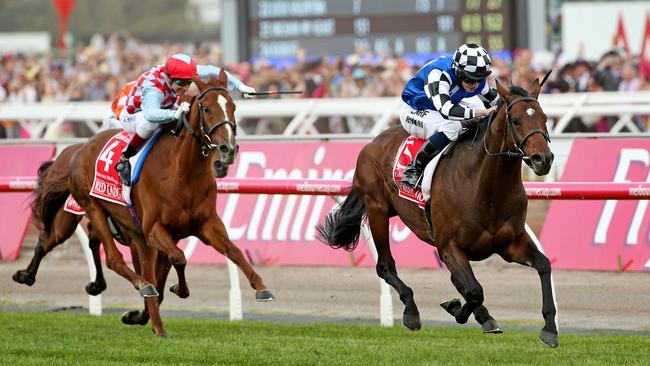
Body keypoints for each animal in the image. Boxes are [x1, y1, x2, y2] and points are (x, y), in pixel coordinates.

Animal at [67, 70, 274, 336]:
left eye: (233, 107)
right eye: (207, 109)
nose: (228, 149)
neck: (181, 172)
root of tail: (81, 148)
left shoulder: (206, 224)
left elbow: (234, 251)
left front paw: (262, 287)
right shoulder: (154, 229)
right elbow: (180, 258)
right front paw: (177, 289)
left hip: (135, 232)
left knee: (145, 270)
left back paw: (148, 315)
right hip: (94, 207)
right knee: (115, 258)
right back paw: (142, 291)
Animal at [316, 78, 556, 348]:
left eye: (544, 119)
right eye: (515, 120)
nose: (543, 159)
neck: (484, 186)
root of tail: (373, 142)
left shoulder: (510, 244)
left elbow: (543, 265)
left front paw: (549, 329)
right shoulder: (449, 246)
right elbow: (474, 290)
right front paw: (458, 310)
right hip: (377, 208)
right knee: (385, 266)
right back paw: (411, 311)